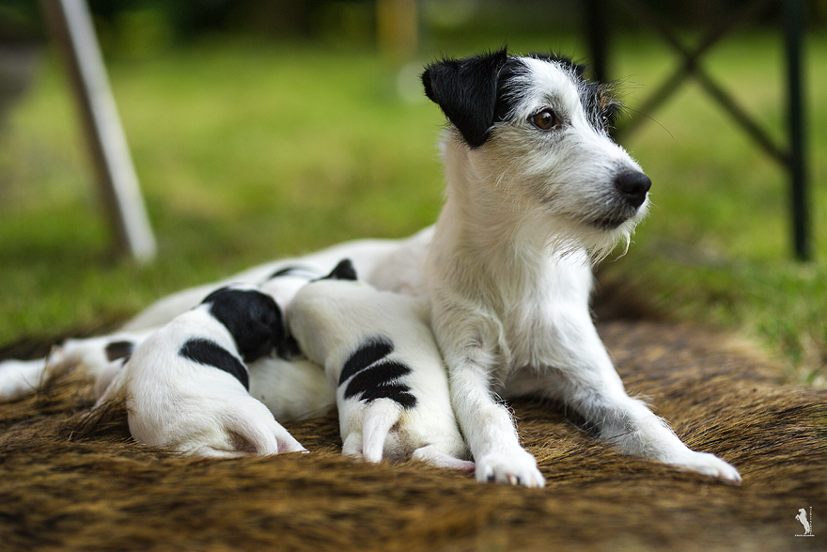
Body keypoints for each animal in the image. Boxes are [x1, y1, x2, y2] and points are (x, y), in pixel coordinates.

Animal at [290, 258, 472, 470]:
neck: (339, 305)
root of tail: (385, 405)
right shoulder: (410, 305)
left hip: (355, 439)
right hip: (443, 438)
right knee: (424, 454)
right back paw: (468, 466)